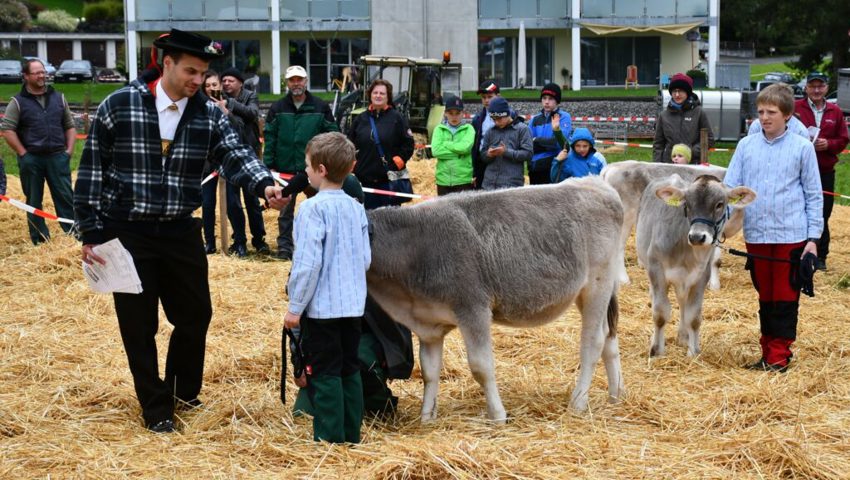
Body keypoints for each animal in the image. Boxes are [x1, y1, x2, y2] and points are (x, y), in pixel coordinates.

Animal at [364, 178, 624, 422]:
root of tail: (593, 182)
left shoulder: (473, 308)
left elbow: (481, 366)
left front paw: (498, 415)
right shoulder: (428, 323)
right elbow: (429, 370)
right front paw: (427, 417)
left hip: (598, 282)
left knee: (593, 341)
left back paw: (578, 401)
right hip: (588, 291)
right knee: (609, 336)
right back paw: (616, 395)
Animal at [632, 175, 752, 356]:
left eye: (719, 204)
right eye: (687, 205)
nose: (697, 237)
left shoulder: (701, 275)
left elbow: (693, 317)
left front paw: (693, 351)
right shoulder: (656, 268)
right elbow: (660, 314)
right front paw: (657, 351)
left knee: (682, 303)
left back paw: (683, 336)